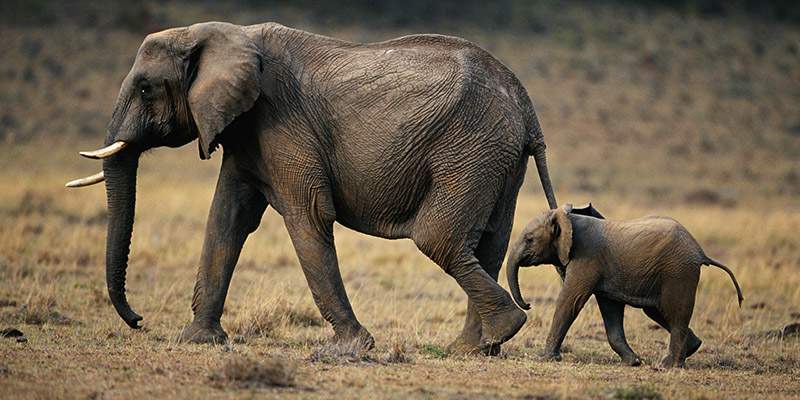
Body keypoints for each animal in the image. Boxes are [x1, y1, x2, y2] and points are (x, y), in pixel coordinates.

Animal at [67, 21, 556, 354]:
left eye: (145, 89)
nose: (138, 320)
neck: (218, 33)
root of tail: (527, 107)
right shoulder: (246, 133)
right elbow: (227, 219)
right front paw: (198, 341)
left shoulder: (281, 121)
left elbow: (308, 216)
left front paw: (352, 348)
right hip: (497, 158)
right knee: (488, 243)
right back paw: (474, 348)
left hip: (470, 146)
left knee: (439, 239)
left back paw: (503, 329)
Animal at [506, 205, 744, 368]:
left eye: (529, 239)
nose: (528, 305)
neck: (567, 219)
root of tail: (700, 251)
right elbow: (610, 309)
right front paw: (634, 362)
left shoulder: (586, 258)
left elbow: (570, 301)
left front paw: (544, 358)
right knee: (659, 311)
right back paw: (692, 349)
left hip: (678, 272)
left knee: (675, 313)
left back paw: (668, 365)